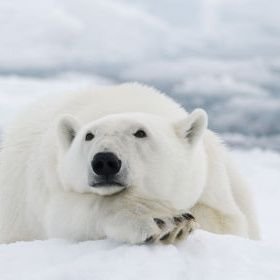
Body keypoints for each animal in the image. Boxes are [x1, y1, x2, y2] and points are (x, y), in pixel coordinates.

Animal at [0, 82, 260, 243]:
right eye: (89, 135)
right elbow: (66, 215)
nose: (105, 161)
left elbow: (226, 221)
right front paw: (163, 220)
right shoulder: (50, 178)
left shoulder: (210, 177)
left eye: (140, 132)